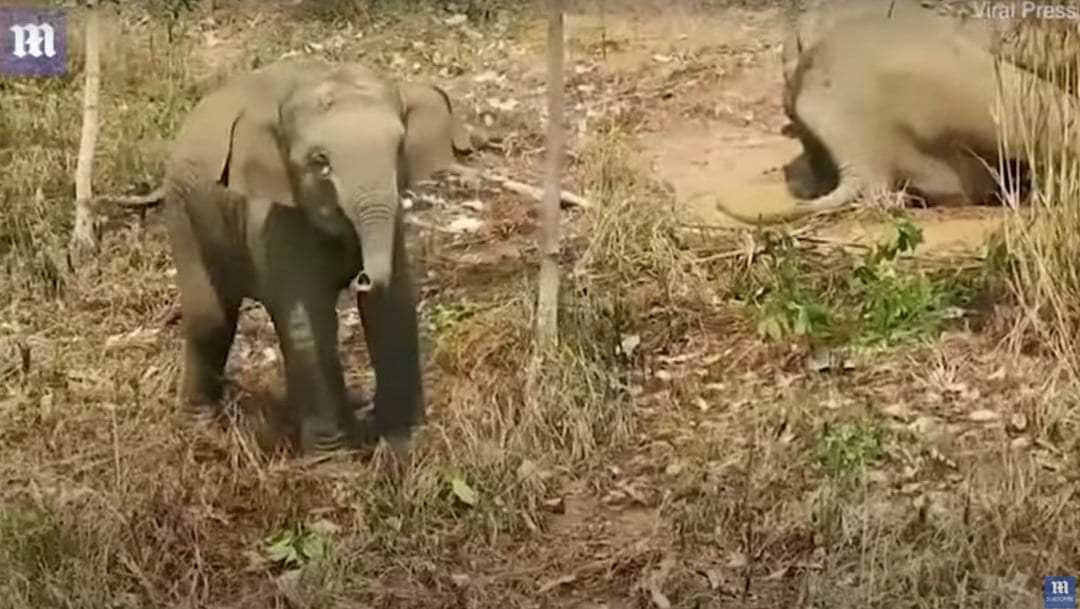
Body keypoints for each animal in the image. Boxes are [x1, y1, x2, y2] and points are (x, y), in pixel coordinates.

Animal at [161, 58, 466, 455]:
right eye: (320, 161)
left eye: (399, 147)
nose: (362, 276)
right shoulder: (275, 216)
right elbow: (307, 320)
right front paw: (334, 461)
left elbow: (392, 306)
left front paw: (404, 443)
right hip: (182, 212)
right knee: (209, 317)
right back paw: (200, 433)